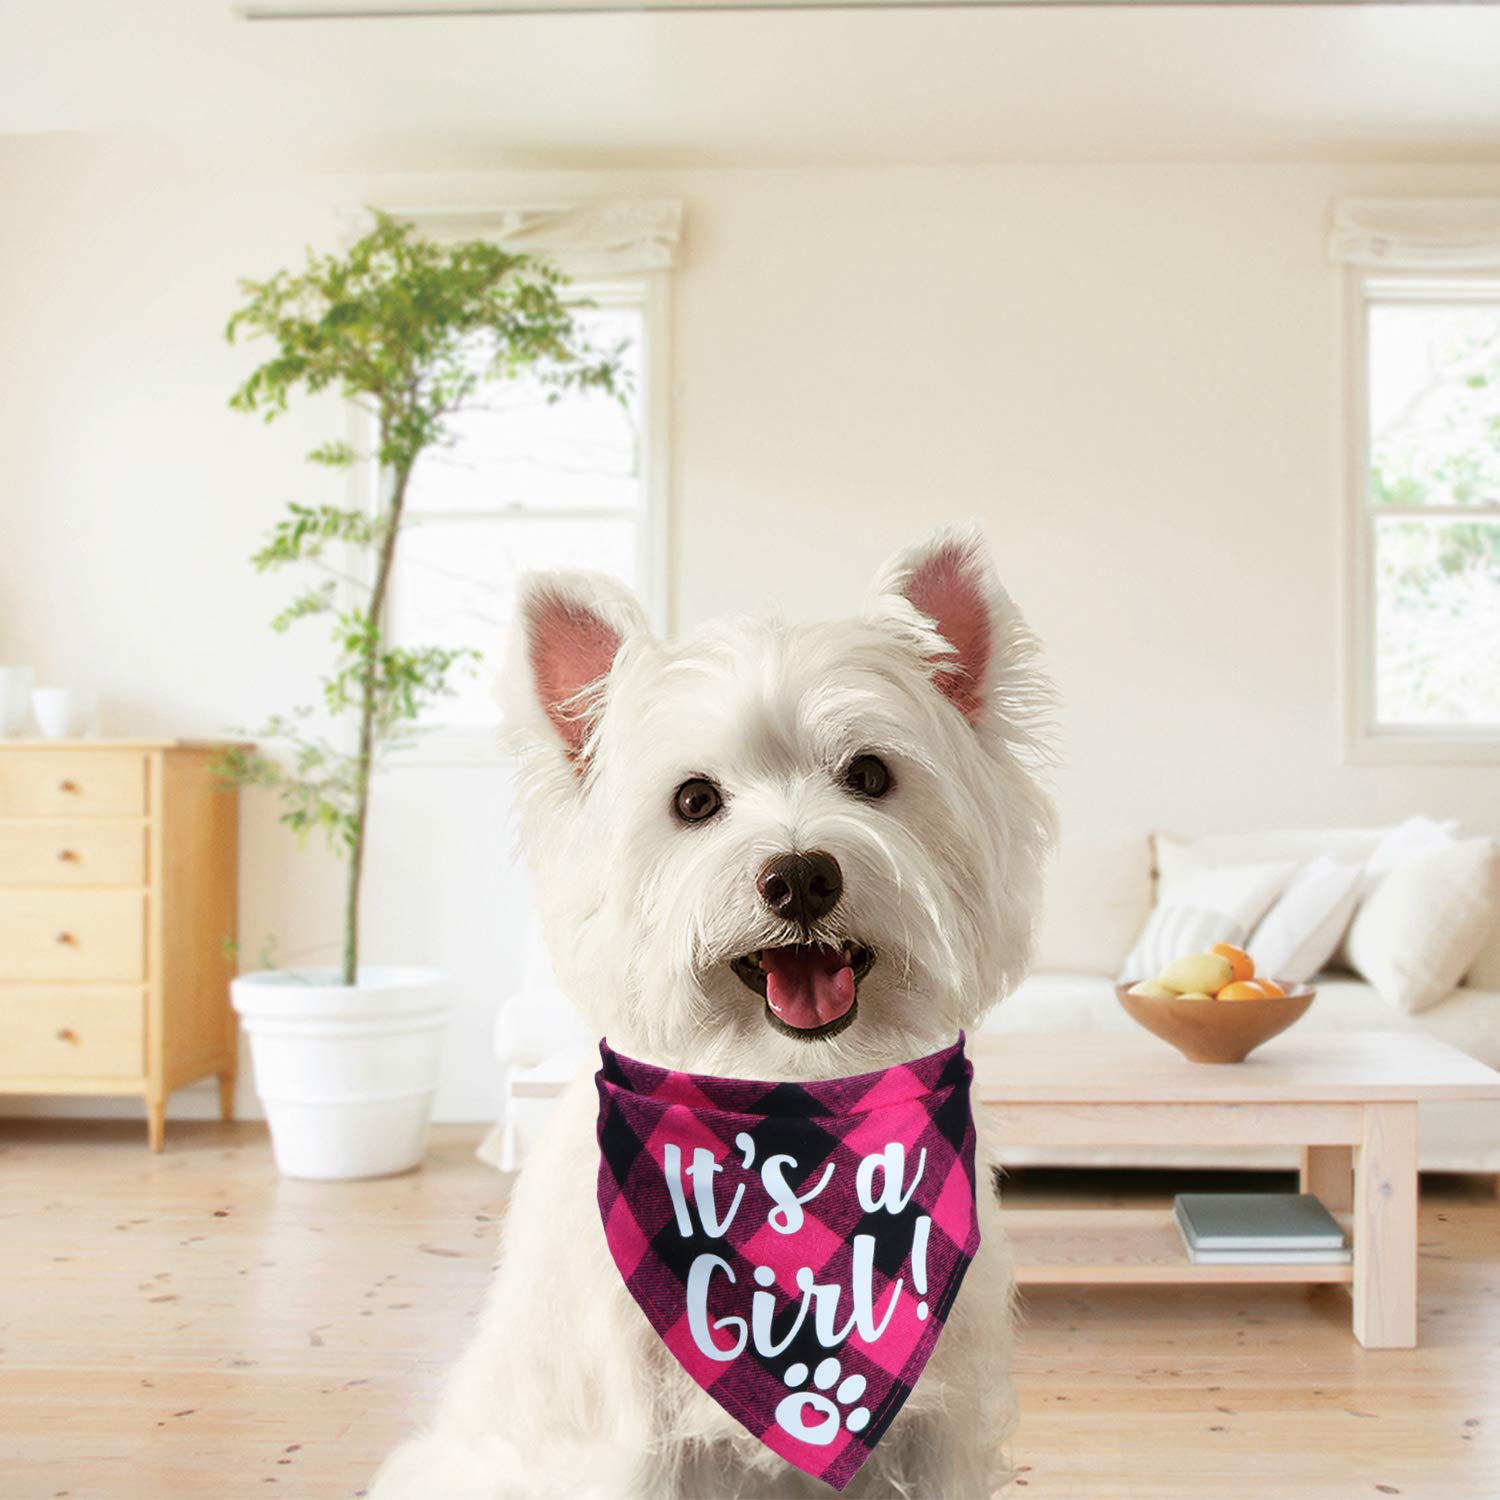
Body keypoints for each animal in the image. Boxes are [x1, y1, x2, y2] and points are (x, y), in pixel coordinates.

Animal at [371, 524, 1056, 1500]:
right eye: (695, 800)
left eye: (870, 774)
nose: (801, 875)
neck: (791, 1121)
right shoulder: (634, 1437)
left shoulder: (940, 1424)